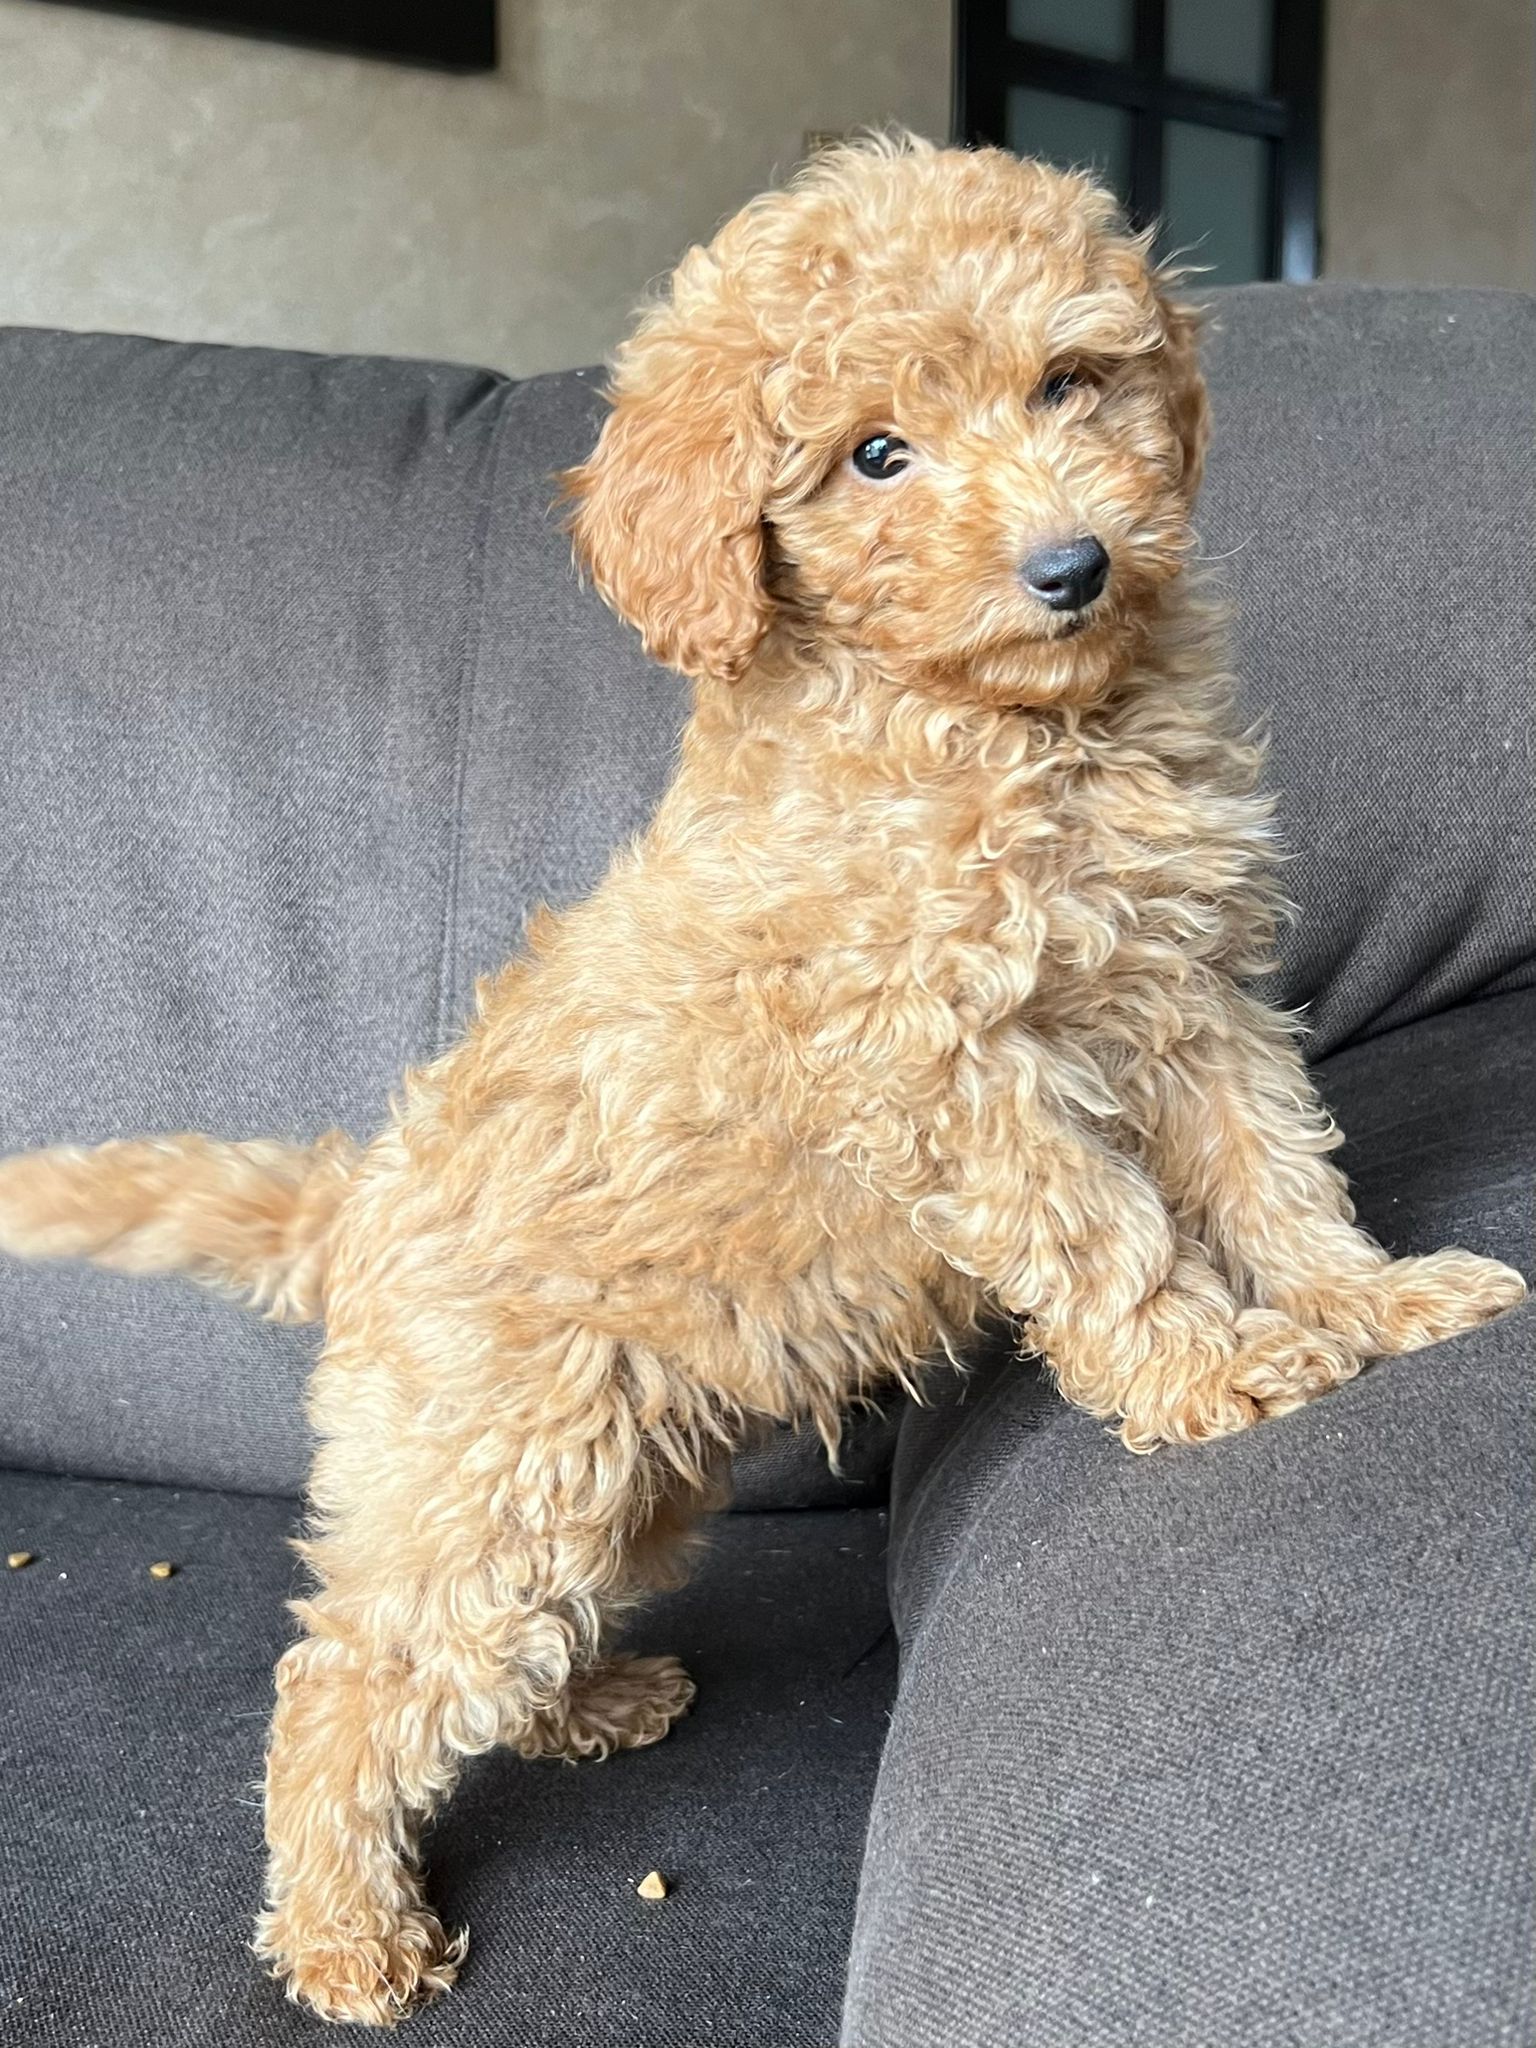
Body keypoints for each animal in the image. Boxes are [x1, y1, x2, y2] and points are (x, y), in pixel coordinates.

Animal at [0, 136, 1523, 2025]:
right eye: (875, 455)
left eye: (1070, 382)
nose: (1075, 563)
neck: (1004, 729)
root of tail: (359, 1200)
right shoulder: (945, 1061)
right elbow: (1107, 1232)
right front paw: (1215, 1369)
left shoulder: (1193, 996)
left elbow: (1274, 1170)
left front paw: (1368, 1302)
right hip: (500, 1460)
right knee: (356, 1675)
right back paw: (351, 1932)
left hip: (617, 1479)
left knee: (489, 1645)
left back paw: (588, 1704)